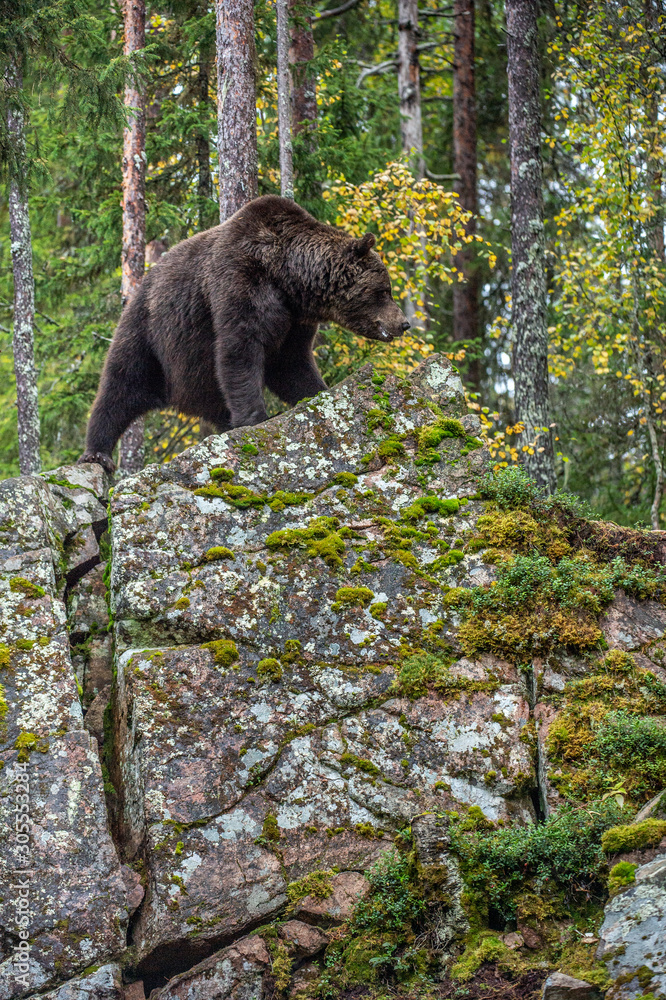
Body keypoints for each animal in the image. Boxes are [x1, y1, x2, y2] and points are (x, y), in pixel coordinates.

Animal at [79, 194, 410, 472]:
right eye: (385, 290)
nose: (403, 323)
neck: (287, 276)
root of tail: (140, 285)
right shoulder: (239, 280)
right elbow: (240, 349)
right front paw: (256, 418)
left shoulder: (294, 320)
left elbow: (291, 364)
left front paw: (317, 391)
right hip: (148, 331)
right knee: (122, 385)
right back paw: (97, 452)